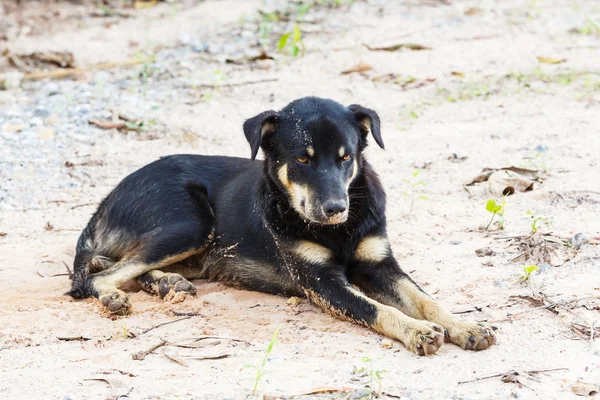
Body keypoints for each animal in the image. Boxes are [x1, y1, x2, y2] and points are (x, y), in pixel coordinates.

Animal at [67, 97, 496, 356]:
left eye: (346, 157)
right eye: (303, 160)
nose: (336, 208)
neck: (337, 232)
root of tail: (107, 199)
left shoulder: (380, 264)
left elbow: (426, 300)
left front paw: (464, 326)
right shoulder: (321, 283)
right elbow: (376, 308)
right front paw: (417, 331)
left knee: (116, 264)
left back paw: (166, 282)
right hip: (191, 222)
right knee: (100, 273)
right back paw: (115, 296)